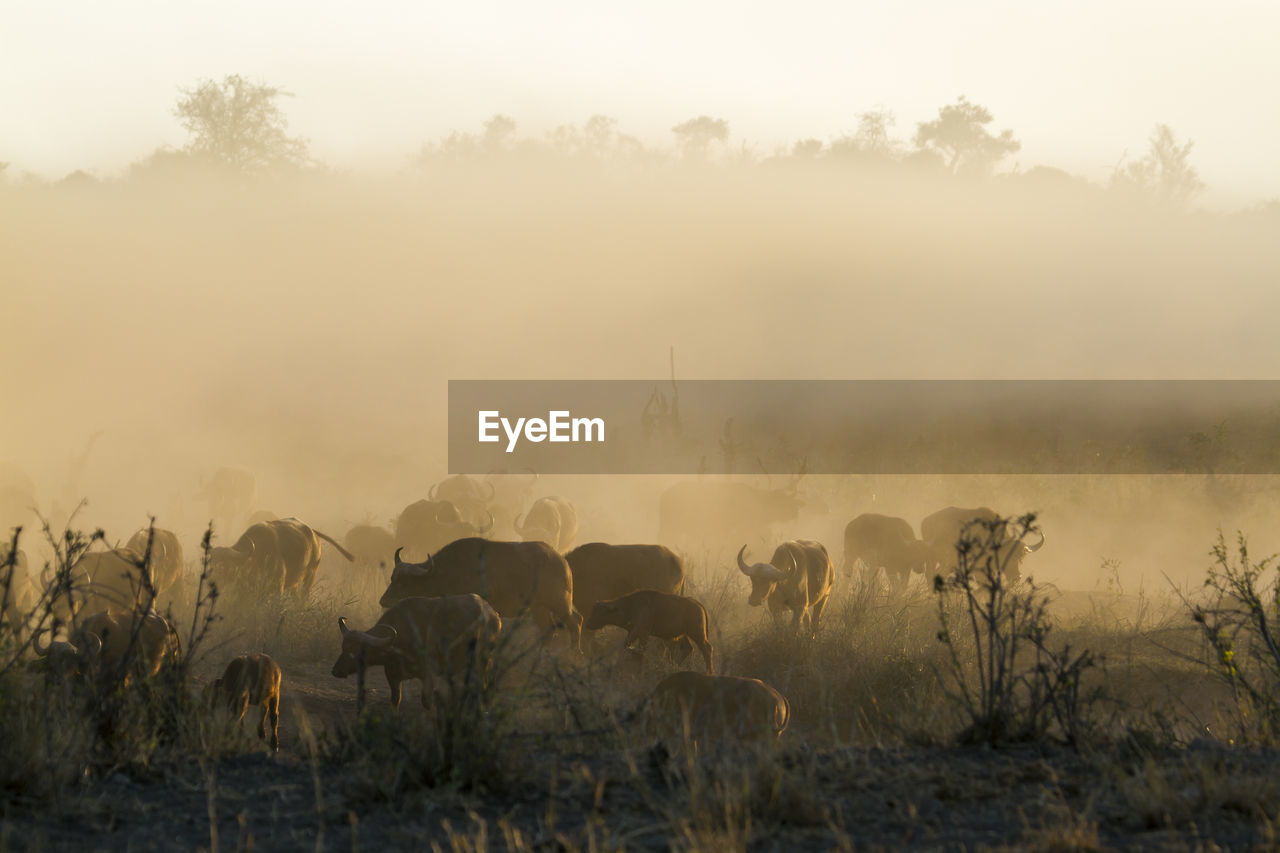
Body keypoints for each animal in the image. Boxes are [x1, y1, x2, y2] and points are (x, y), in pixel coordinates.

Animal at [211, 514, 355, 601]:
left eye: (225, 567)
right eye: (211, 567)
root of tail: (313, 533)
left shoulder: (277, 588)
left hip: (310, 576)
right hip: (295, 583)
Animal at [332, 589, 501, 706]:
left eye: (356, 651)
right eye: (343, 647)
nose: (336, 671)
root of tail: (493, 614)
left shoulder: (428, 675)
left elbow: (426, 701)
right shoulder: (393, 675)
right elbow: (395, 699)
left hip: (480, 661)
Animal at [586, 584, 716, 671]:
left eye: (601, 612)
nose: (588, 623)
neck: (630, 605)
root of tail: (698, 604)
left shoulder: (642, 633)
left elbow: (640, 650)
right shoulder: (633, 633)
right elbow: (627, 646)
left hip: (697, 634)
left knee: (707, 649)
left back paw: (709, 672)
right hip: (684, 635)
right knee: (688, 649)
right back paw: (673, 666)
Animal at [921, 504, 1049, 578]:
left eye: (1021, 558)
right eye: (1006, 556)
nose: (1017, 577)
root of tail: (926, 521)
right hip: (933, 559)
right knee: (931, 575)